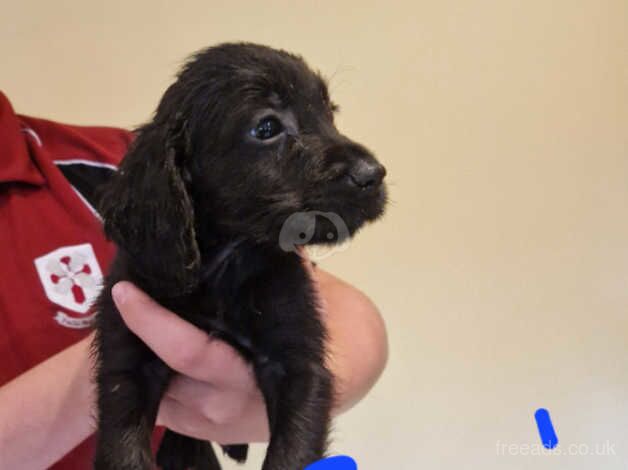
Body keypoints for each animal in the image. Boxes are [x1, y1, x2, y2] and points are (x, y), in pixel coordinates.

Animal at [93, 41, 388, 470]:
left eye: (329, 113)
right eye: (266, 128)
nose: (374, 173)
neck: (226, 264)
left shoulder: (299, 367)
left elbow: (290, 454)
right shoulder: (124, 365)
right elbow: (123, 450)